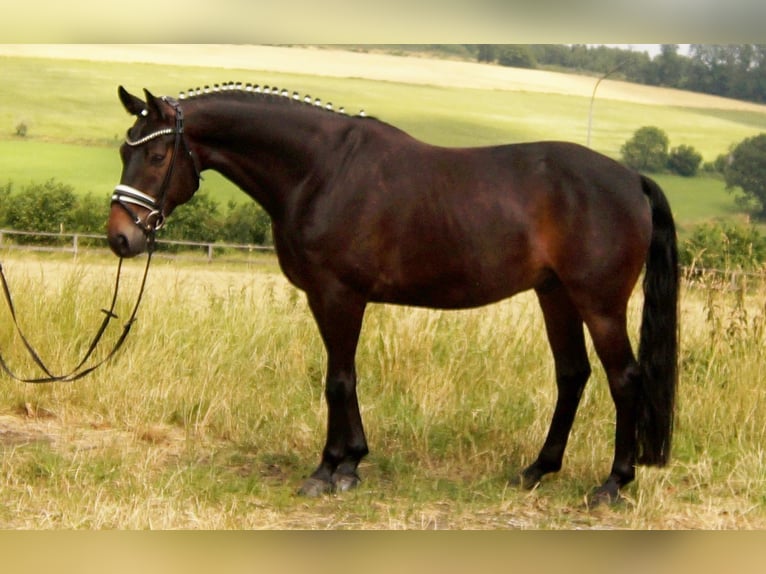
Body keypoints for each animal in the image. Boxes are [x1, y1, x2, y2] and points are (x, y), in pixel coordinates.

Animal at [108, 83, 680, 506]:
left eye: (156, 154)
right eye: (122, 151)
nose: (121, 237)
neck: (320, 170)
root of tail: (631, 177)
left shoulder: (339, 295)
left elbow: (338, 380)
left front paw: (328, 470)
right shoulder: (327, 297)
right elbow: (345, 377)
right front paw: (351, 462)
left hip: (599, 304)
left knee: (624, 379)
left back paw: (612, 484)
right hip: (555, 294)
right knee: (572, 375)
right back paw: (537, 469)